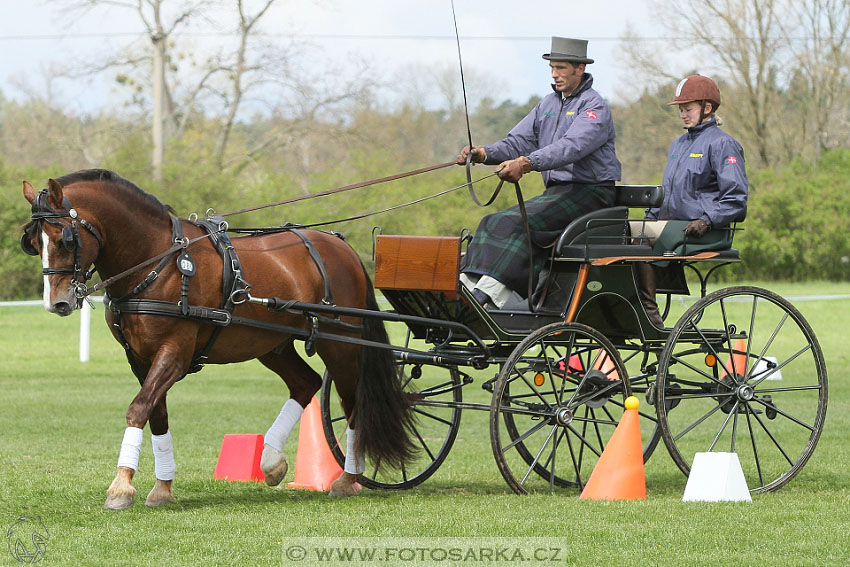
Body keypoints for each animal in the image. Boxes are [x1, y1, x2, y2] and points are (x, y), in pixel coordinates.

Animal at [21, 169, 416, 510]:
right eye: (33, 241)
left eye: (64, 237)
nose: (57, 302)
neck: (158, 261)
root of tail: (340, 246)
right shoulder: (140, 358)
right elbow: (156, 414)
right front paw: (162, 487)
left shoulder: (175, 352)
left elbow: (138, 408)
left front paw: (121, 487)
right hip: (271, 344)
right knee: (306, 383)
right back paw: (272, 461)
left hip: (341, 342)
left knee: (352, 401)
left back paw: (347, 478)